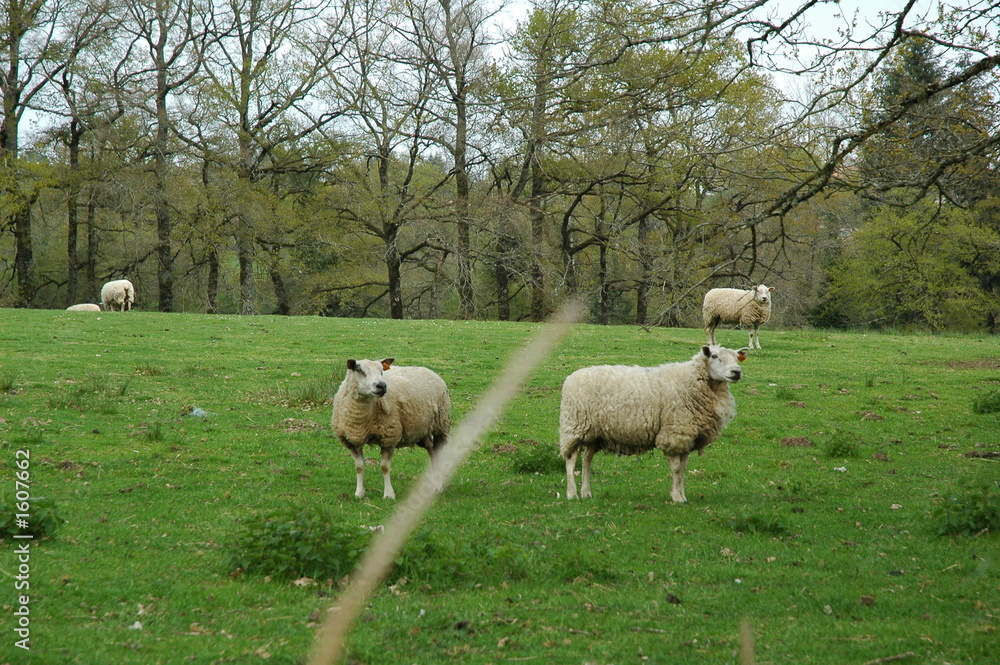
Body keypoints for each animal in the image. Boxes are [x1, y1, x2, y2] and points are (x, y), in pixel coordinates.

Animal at [331, 358, 451, 499]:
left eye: (381, 371)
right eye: (360, 370)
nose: (382, 386)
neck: (361, 420)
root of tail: (426, 369)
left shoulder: (389, 438)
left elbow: (385, 467)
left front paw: (389, 494)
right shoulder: (351, 441)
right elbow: (359, 467)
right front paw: (359, 493)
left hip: (441, 425)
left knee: (437, 451)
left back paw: (438, 485)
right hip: (420, 431)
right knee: (432, 450)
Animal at [560, 345, 748, 503]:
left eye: (736, 357)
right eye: (714, 356)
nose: (736, 372)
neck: (691, 381)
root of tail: (571, 377)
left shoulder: (687, 436)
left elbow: (683, 469)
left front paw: (682, 496)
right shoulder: (673, 434)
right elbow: (676, 469)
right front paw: (676, 498)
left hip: (595, 433)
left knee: (586, 460)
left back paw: (586, 492)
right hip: (575, 426)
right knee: (571, 460)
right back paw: (572, 493)